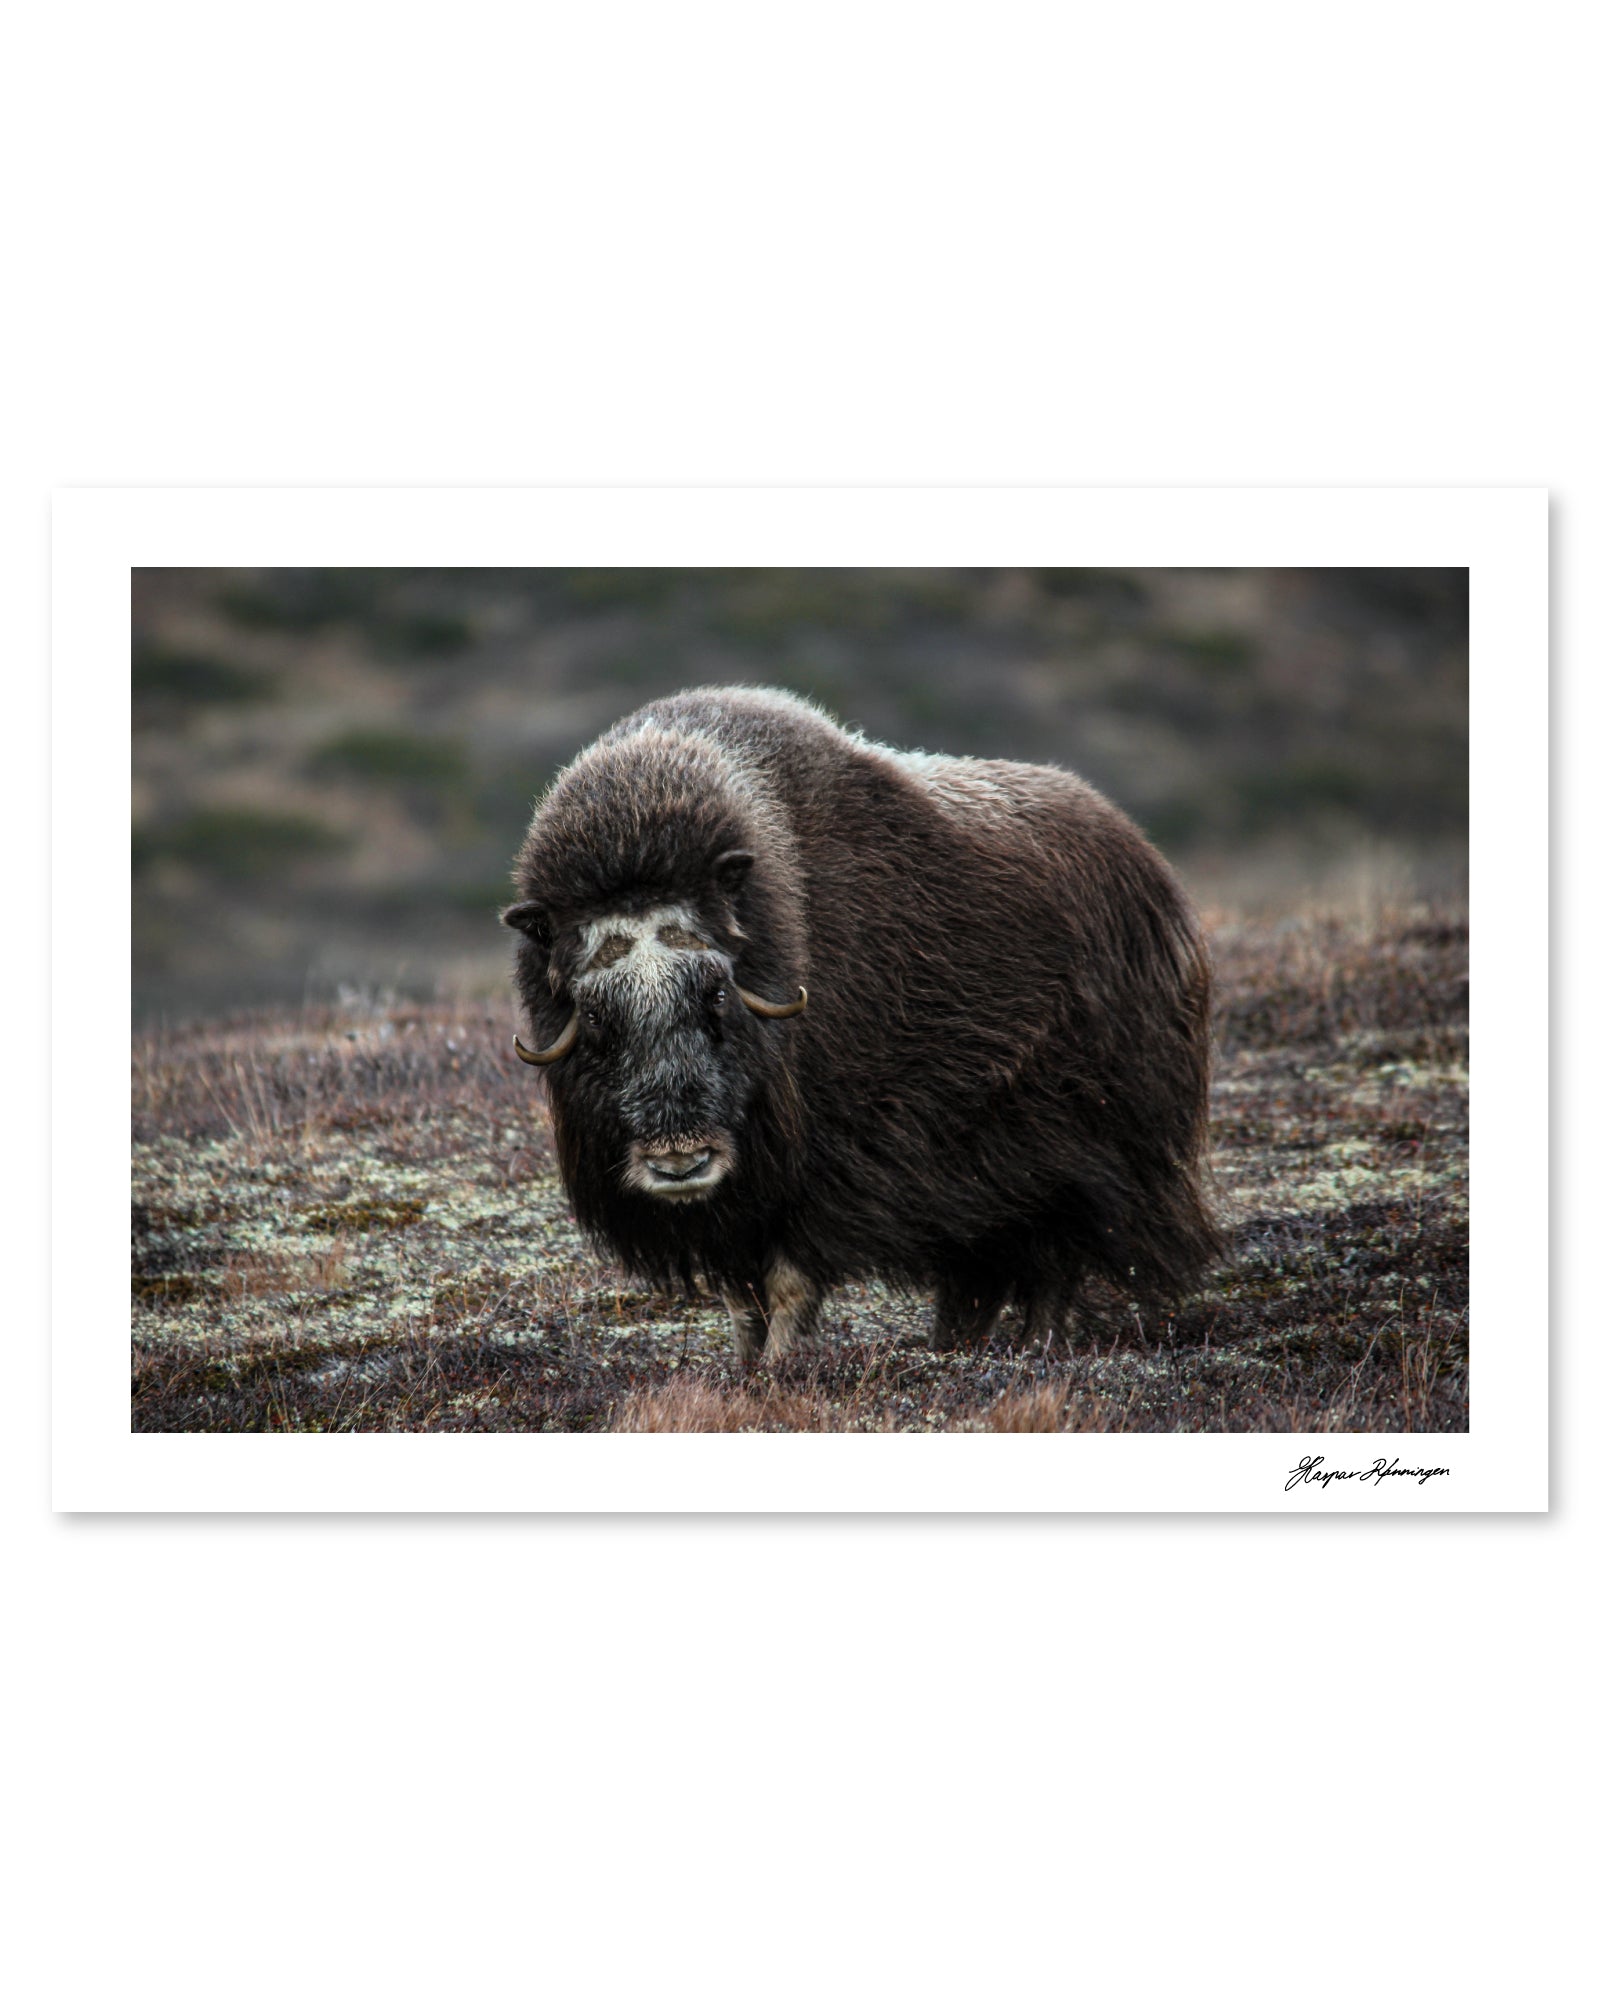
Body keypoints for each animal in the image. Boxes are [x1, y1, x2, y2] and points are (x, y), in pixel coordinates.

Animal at [502, 686, 1219, 1365]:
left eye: (716, 995)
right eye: (597, 1018)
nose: (681, 1162)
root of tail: (1152, 869)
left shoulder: (833, 1165)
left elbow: (790, 1278)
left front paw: (782, 1368)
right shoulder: (738, 1204)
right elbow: (740, 1297)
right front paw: (745, 1368)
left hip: (1087, 1152)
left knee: (1056, 1260)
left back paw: (1036, 1347)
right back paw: (957, 1348)